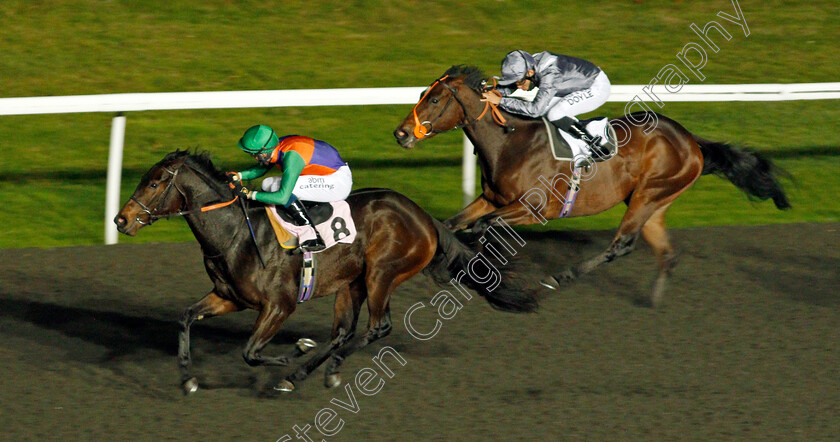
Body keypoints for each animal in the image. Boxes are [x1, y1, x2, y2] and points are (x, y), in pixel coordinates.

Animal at [392, 65, 788, 308]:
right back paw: (654, 299)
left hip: (648, 196)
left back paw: (560, 277)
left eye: (435, 99)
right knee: (666, 252)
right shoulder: (490, 198)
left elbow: (480, 229)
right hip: (653, 201)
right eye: (423, 93)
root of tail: (693, 142)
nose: (401, 134)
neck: (510, 142)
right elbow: (450, 224)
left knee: (622, 245)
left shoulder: (534, 210)